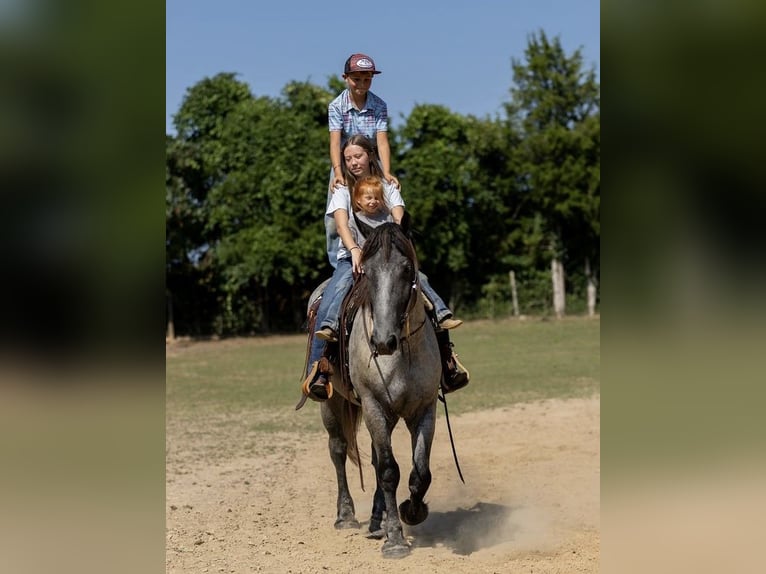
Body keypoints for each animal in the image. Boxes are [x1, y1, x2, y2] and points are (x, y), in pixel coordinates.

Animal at [310, 219, 444, 560]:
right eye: (366, 272)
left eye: (407, 269)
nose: (383, 341)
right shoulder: (372, 405)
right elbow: (388, 471)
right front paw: (395, 540)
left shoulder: (424, 409)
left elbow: (420, 471)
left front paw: (412, 511)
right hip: (332, 403)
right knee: (339, 449)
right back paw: (346, 515)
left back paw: (376, 519)